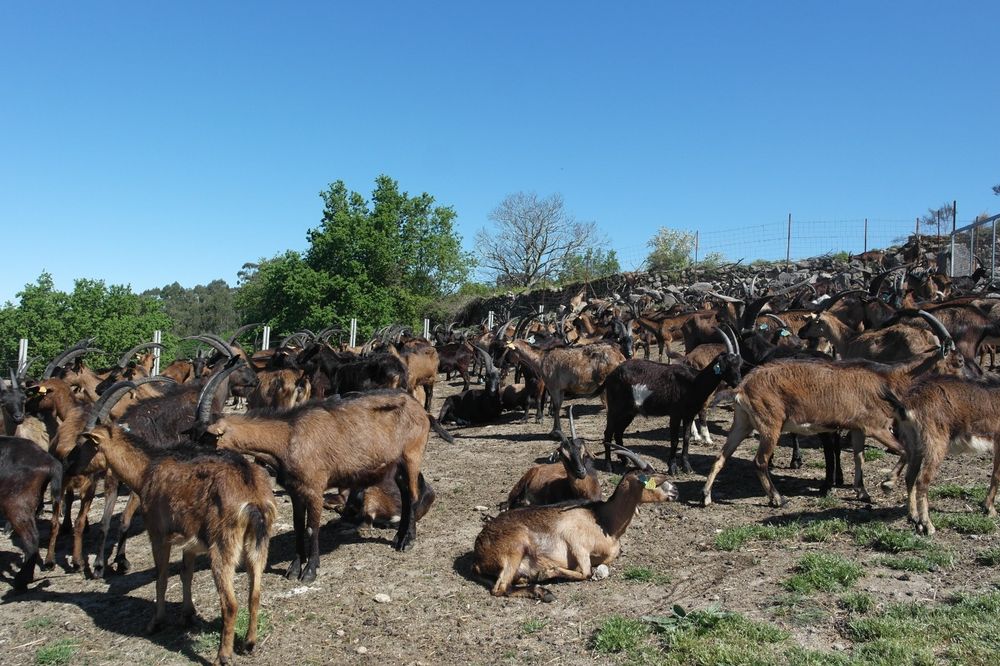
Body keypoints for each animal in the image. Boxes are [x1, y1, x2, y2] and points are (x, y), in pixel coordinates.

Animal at [70, 383, 276, 666]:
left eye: (85, 445)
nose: (70, 466)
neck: (146, 469)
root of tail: (252, 494)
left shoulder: (158, 533)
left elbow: (162, 576)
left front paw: (155, 622)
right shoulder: (191, 543)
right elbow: (185, 573)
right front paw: (187, 614)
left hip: (223, 545)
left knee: (230, 602)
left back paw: (223, 655)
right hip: (258, 543)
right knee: (255, 593)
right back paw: (249, 643)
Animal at [472, 461, 678, 602]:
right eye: (655, 480)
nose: (675, 491)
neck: (605, 521)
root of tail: (478, 555)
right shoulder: (576, 542)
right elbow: (586, 573)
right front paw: (546, 572)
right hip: (516, 546)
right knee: (500, 588)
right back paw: (542, 590)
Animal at [602, 328, 742, 473]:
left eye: (739, 363)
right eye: (727, 364)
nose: (738, 382)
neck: (693, 382)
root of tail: (611, 375)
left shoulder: (689, 415)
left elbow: (686, 439)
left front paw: (687, 467)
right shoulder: (675, 414)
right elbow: (674, 440)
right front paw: (672, 468)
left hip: (629, 412)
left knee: (618, 432)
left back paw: (624, 460)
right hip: (615, 409)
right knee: (608, 433)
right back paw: (609, 466)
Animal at [882, 377, 1000, 535]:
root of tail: (907, 405)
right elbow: (996, 475)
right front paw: (990, 509)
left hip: (914, 443)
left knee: (910, 476)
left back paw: (913, 517)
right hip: (935, 443)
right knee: (922, 480)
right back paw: (928, 526)